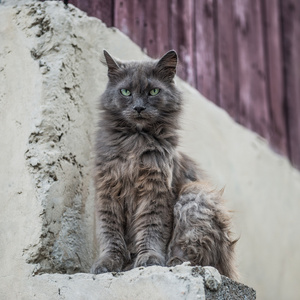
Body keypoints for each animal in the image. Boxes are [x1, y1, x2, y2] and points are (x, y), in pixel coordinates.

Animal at [90, 50, 238, 280]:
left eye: (153, 91)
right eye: (125, 92)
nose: (139, 107)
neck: (135, 142)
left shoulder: (156, 190)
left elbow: (151, 228)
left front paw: (149, 259)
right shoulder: (107, 190)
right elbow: (109, 233)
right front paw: (107, 263)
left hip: (195, 194)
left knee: (195, 255)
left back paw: (172, 263)